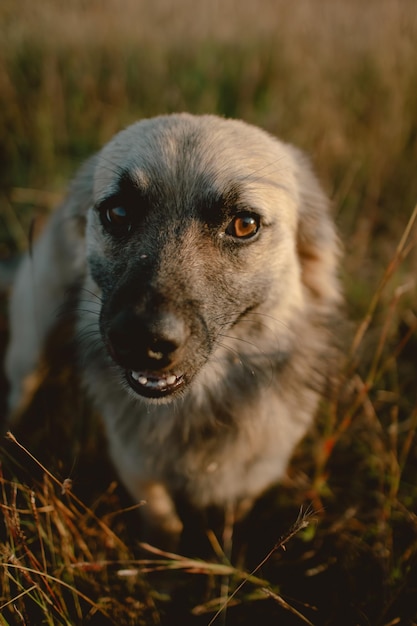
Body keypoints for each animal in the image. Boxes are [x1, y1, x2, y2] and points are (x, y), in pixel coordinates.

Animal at [4, 114, 342, 548]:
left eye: (244, 224)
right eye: (118, 212)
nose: (140, 341)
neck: (197, 406)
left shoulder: (255, 474)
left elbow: (230, 515)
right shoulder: (134, 463)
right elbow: (163, 520)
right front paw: (161, 555)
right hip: (31, 344)